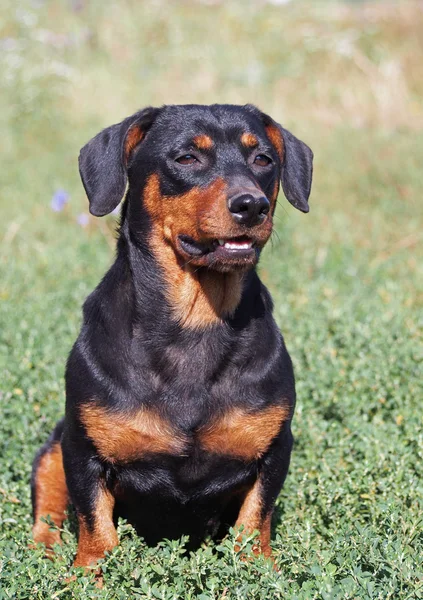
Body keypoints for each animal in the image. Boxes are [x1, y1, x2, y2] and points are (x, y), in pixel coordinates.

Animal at [31, 103, 314, 568]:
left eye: (263, 159)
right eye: (186, 158)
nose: (251, 205)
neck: (195, 322)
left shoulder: (274, 450)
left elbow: (254, 521)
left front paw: (257, 570)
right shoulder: (81, 450)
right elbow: (95, 527)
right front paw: (88, 574)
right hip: (54, 445)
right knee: (48, 504)